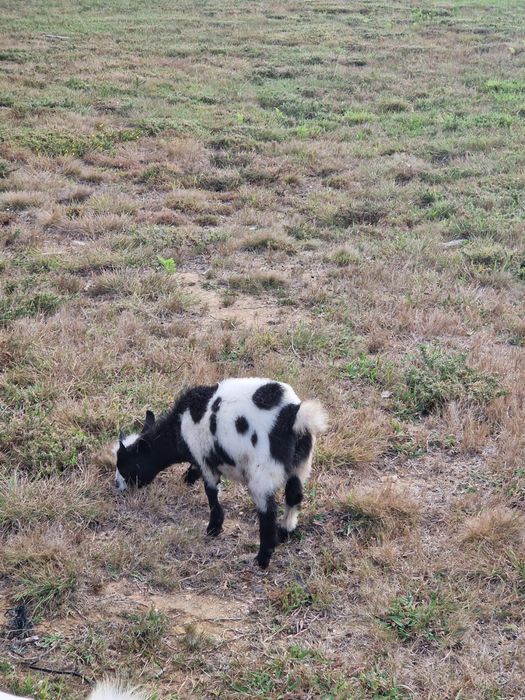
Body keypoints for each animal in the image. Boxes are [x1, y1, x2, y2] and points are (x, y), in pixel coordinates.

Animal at [114, 378, 328, 568]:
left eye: (127, 466)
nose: (118, 486)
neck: (180, 427)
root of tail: (292, 416)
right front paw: (187, 479)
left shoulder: (205, 459)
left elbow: (211, 493)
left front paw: (213, 528)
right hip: (301, 465)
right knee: (294, 496)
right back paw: (284, 532)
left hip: (262, 473)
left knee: (267, 513)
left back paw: (262, 559)